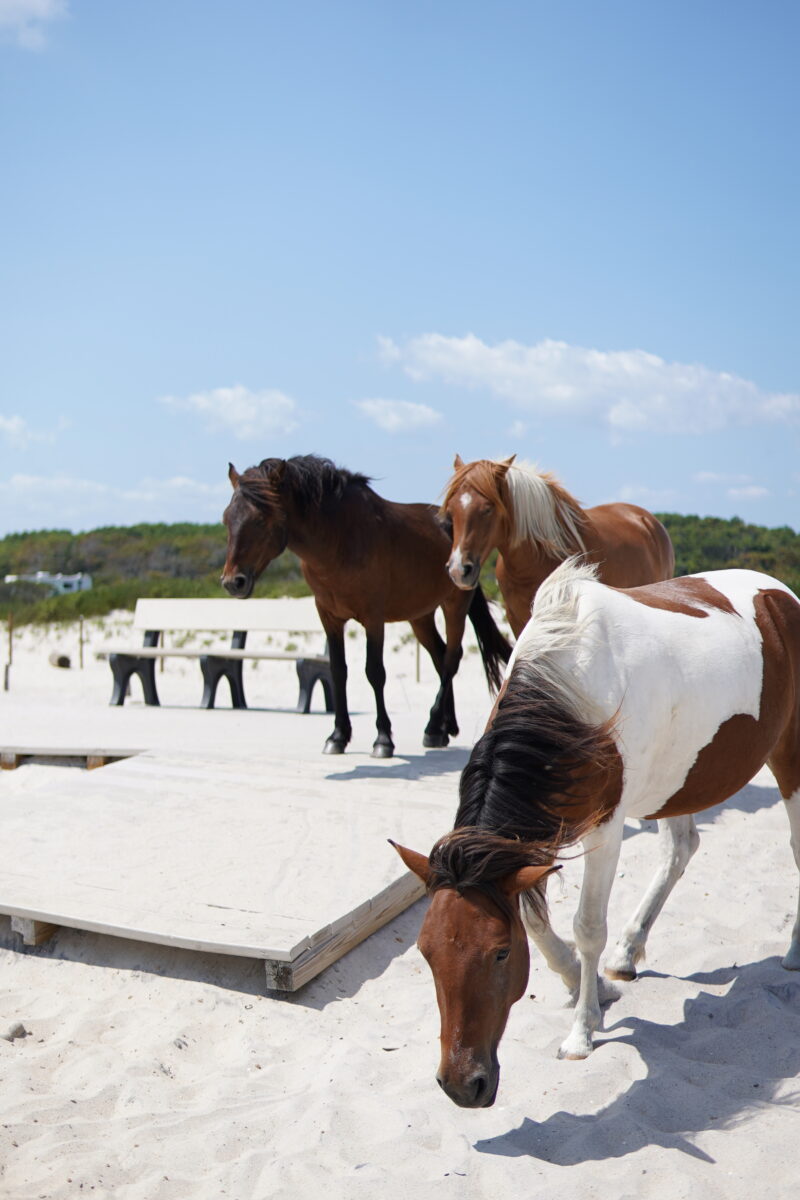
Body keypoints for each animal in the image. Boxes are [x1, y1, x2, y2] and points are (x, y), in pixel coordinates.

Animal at [219, 453, 510, 753]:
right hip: (420, 616)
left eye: (260, 520)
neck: (339, 540)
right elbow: (338, 671)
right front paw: (337, 735)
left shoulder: (373, 619)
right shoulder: (329, 617)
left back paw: (432, 727)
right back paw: (443, 728)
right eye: (227, 519)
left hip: (454, 605)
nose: (232, 582)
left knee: (451, 659)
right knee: (440, 658)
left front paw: (383, 739)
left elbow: (375, 672)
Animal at [441, 451, 671, 638]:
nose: (459, 570)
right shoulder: (516, 619)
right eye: (451, 510)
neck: (534, 561)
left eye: (487, 509)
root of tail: (647, 520)